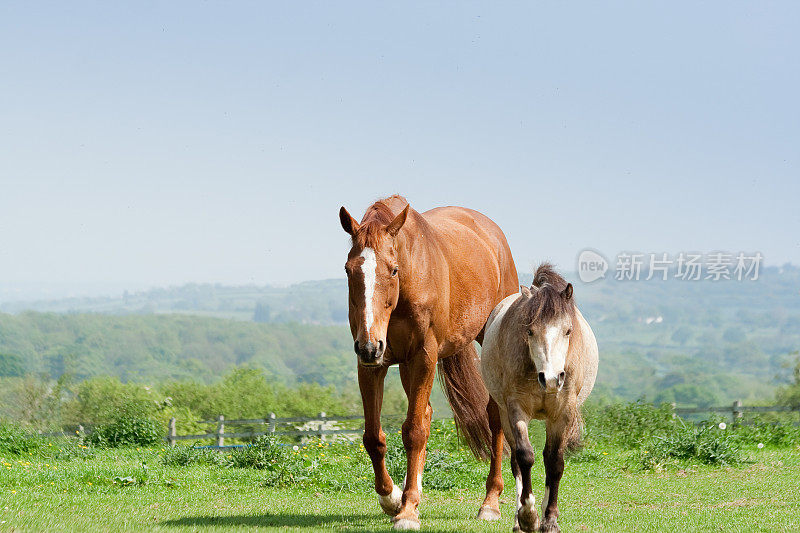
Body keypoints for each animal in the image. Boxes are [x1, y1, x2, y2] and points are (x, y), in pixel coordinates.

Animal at [338, 195, 520, 528]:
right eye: (348, 270)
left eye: (393, 270)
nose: (370, 345)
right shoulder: (372, 364)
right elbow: (374, 436)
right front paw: (393, 498)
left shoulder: (423, 357)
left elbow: (413, 432)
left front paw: (407, 511)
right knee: (425, 413)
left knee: (494, 416)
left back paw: (490, 502)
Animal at [478, 262, 596, 532]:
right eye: (530, 331)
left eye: (568, 331)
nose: (551, 379)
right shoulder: (515, 409)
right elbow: (525, 457)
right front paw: (528, 515)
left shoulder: (562, 414)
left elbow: (554, 463)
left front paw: (550, 519)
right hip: (504, 413)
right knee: (517, 462)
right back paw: (519, 519)